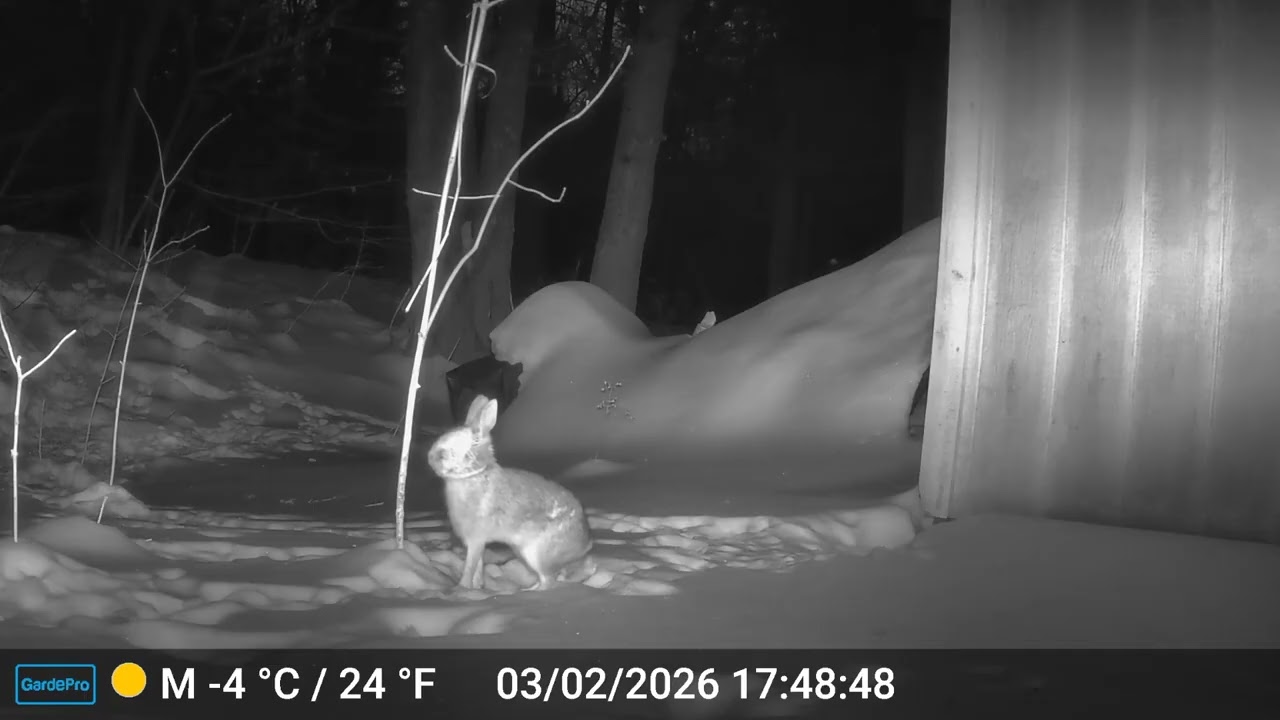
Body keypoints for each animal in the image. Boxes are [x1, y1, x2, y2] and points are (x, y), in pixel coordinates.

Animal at [426, 394, 593, 591]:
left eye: (474, 442)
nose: (434, 456)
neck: (475, 476)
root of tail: (585, 543)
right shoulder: (475, 541)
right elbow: (478, 566)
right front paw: (477, 588)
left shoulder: (476, 539)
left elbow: (470, 566)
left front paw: (462, 588)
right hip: (522, 552)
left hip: (537, 554)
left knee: (548, 581)